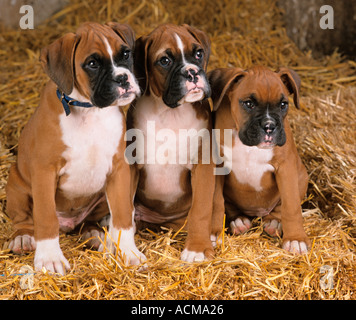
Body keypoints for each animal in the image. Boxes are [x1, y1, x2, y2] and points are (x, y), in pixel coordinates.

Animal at [5, 21, 146, 274]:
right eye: (92, 64)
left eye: (126, 54)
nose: (123, 78)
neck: (89, 110)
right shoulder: (44, 172)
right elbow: (45, 217)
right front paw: (50, 258)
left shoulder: (119, 169)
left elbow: (122, 214)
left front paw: (128, 252)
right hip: (16, 184)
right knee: (24, 220)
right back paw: (23, 238)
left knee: (89, 223)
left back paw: (96, 236)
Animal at [128, 23, 216, 262]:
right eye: (165, 61)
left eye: (198, 53)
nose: (192, 72)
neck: (171, 113)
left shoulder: (203, 167)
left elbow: (201, 210)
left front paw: (197, 248)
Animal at [210, 66, 310, 254]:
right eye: (249, 104)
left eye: (283, 105)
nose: (269, 126)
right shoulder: (217, 166)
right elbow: (215, 202)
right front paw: (213, 232)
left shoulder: (286, 169)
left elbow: (291, 206)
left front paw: (296, 239)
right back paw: (239, 222)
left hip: (301, 176)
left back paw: (274, 222)